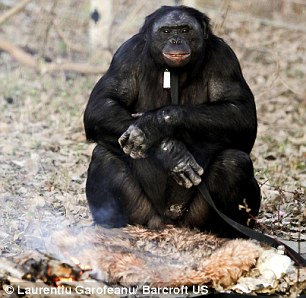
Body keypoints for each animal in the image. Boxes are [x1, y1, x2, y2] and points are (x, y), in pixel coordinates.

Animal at [83, 5, 260, 237]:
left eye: (184, 30)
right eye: (166, 31)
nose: (176, 40)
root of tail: (168, 223)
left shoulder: (225, 59)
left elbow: (241, 114)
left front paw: (153, 126)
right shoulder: (125, 56)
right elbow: (101, 105)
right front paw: (171, 153)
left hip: (195, 218)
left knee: (234, 162)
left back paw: (230, 232)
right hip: (142, 214)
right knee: (103, 155)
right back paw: (110, 223)